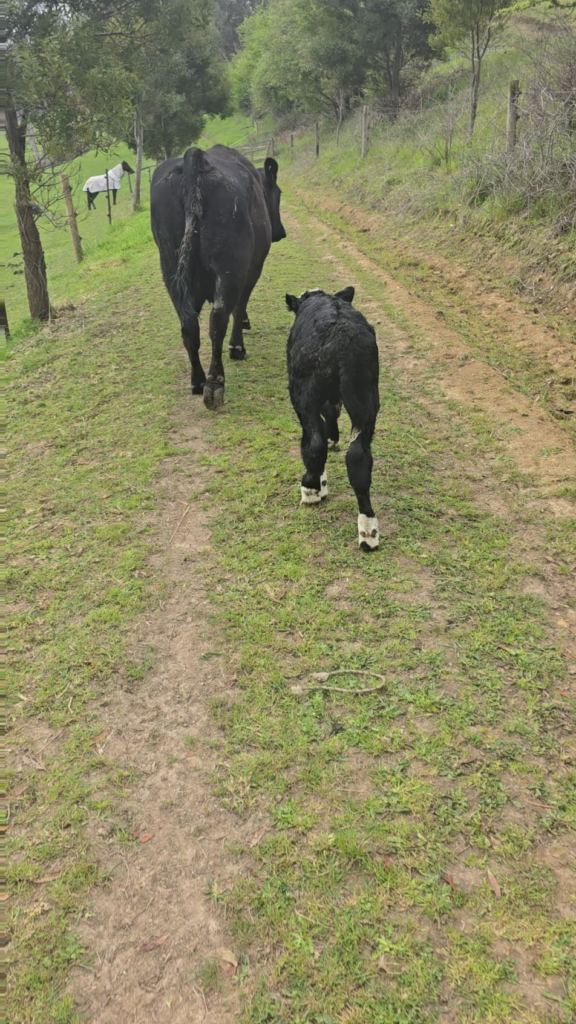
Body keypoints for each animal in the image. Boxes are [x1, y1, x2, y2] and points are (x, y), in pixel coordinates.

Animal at [151, 144, 286, 410]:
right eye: (279, 192)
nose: (281, 232)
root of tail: (195, 158)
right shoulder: (253, 267)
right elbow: (240, 305)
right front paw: (238, 343)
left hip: (171, 269)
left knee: (188, 325)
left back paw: (198, 381)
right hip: (229, 267)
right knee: (218, 320)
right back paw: (215, 383)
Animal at [285, 287, 380, 552]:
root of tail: (343, 337)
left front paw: (320, 482)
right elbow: (331, 413)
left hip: (303, 393)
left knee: (314, 444)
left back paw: (309, 489)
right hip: (367, 398)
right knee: (359, 457)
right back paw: (368, 530)